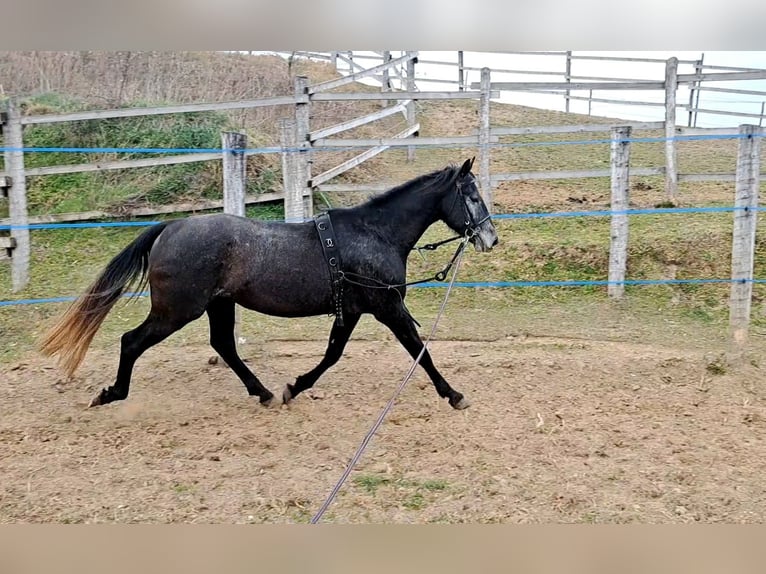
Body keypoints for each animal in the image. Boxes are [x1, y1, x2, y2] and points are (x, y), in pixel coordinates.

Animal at [40, 158, 498, 411]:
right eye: (473, 196)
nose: (490, 238)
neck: (375, 234)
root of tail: (172, 226)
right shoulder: (387, 308)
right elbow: (419, 350)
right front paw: (454, 395)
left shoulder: (351, 311)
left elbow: (332, 356)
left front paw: (294, 387)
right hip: (177, 310)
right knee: (131, 341)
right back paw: (110, 394)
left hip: (218, 304)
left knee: (223, 345)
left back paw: (262, 393)